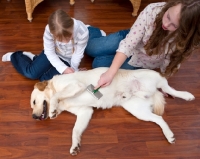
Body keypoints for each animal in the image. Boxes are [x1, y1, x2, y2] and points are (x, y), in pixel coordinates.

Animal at [30, 67, 195, 155]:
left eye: (33, 102)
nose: (33, 117)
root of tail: (150, 92)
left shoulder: (76, 86)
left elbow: (56, 96)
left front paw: (52, 107)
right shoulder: (85, 111)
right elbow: (75, 131)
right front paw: (75, 145)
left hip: (158, 80)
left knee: (170, 89)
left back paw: (187, 95)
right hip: (138, 110)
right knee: (159, 119)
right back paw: (169, 135)